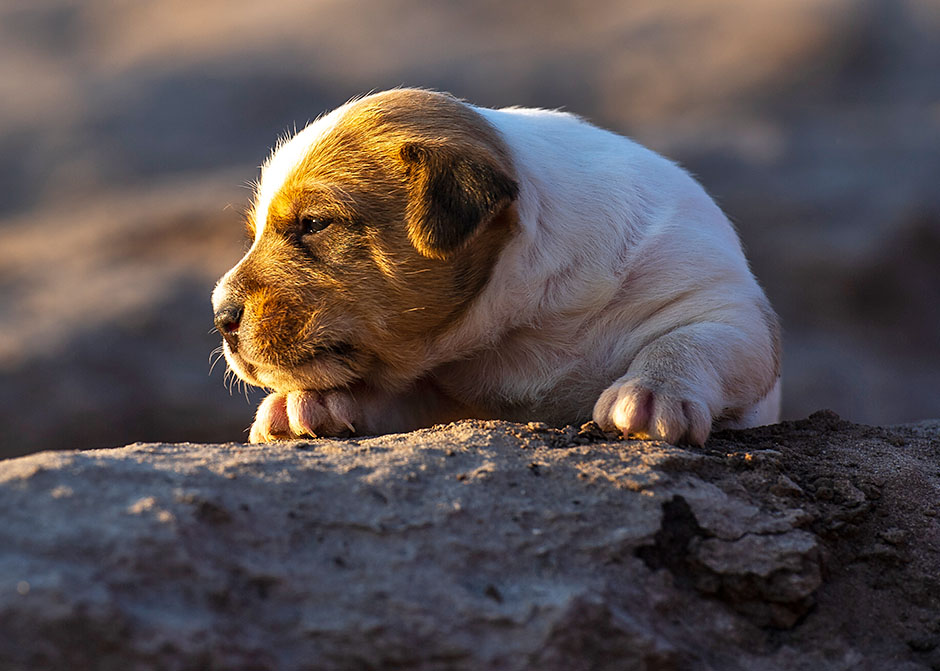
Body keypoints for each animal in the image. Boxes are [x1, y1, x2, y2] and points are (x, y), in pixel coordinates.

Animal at [211, 89, 780, 446]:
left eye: (314, 223)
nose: (220, 317)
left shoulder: (724, 307)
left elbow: (687, 341)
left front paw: (651, 393)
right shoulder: (442, 399)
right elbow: (389, 393)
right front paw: (307, 404)